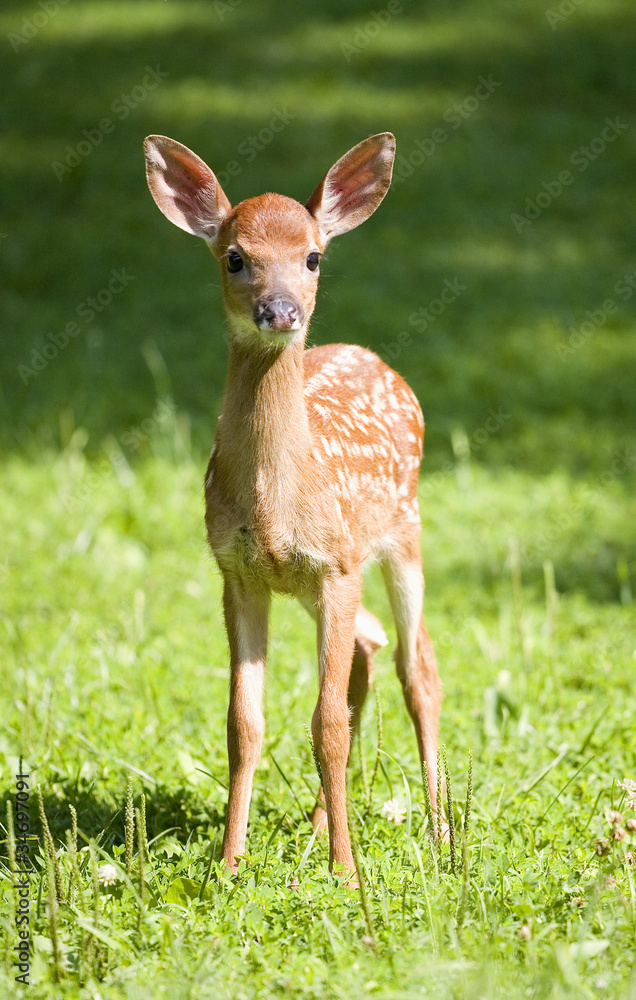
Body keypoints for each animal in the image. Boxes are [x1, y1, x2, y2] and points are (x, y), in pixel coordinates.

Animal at [143, 131, 442, 879]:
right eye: (236, 256)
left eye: (313, 256)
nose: (280, 311)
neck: (277, 504)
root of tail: (374, 357)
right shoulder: (239, 572)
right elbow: (242, 724)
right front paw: (230, 862)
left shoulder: (336, 564)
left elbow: (325, 723)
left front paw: (346, 872)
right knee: (369, 646)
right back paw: (314, 826)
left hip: (402, 530)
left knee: (417, 666)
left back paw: (440, 834)